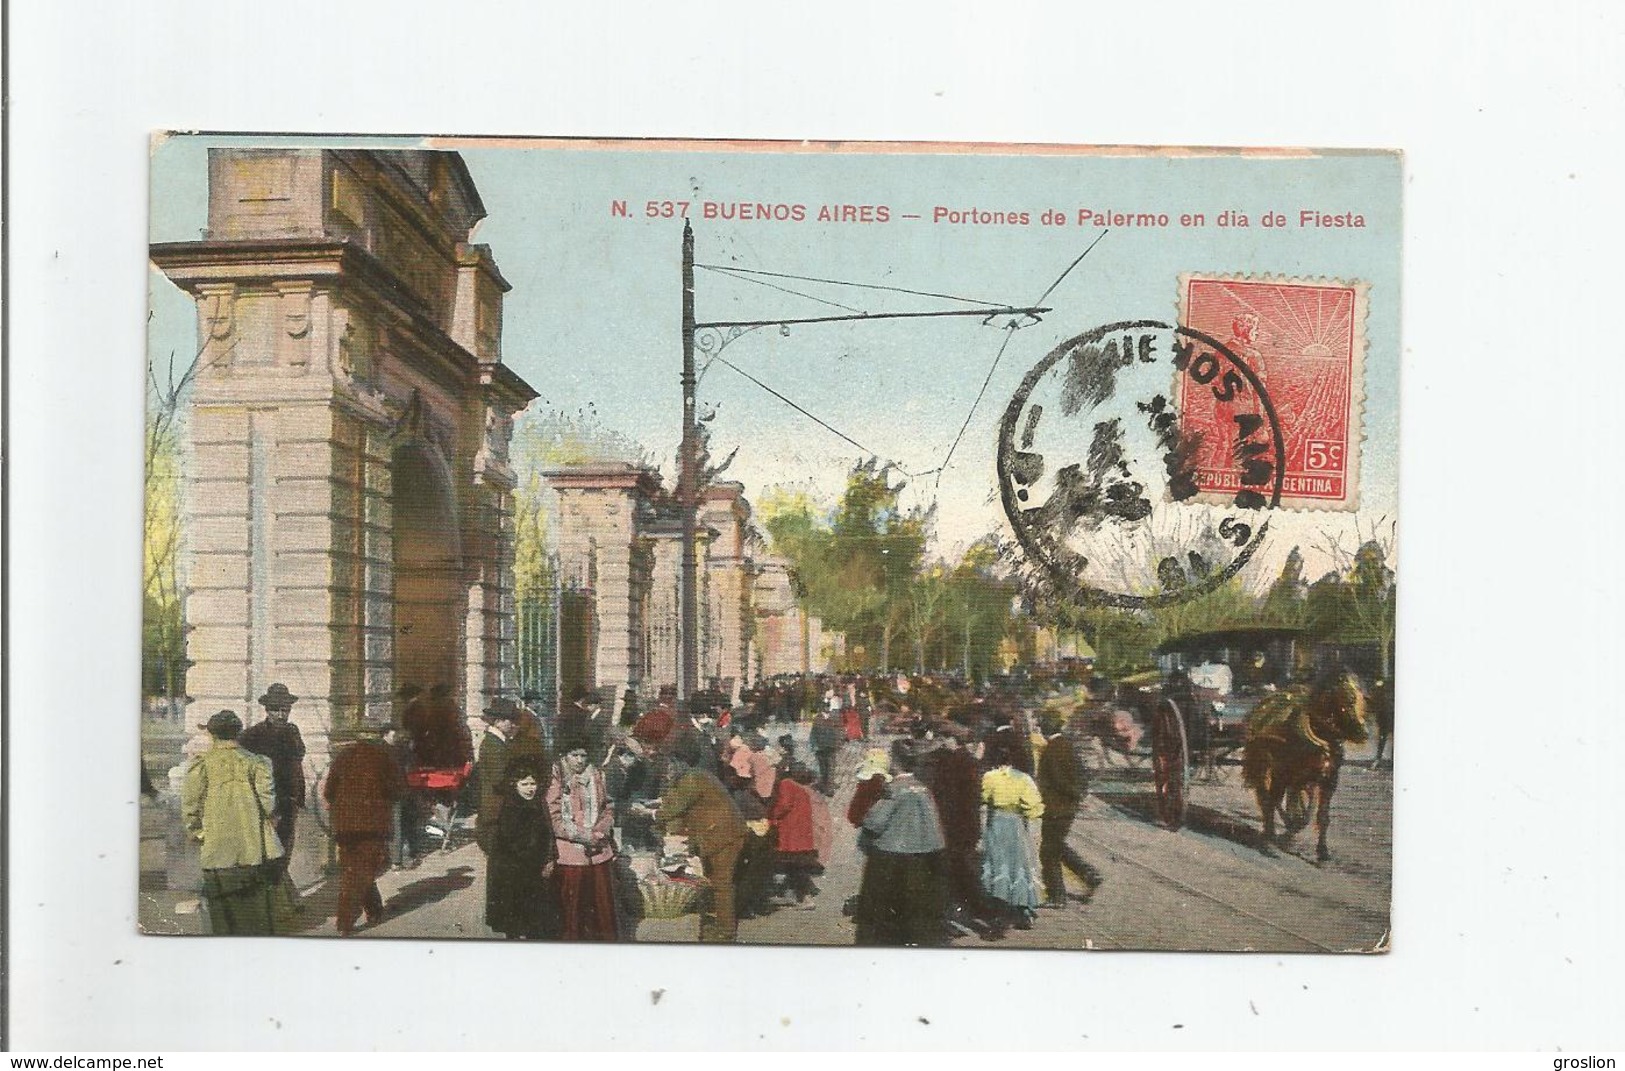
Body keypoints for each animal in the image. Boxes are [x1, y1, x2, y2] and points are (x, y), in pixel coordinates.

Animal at [1241, 679, 1371, 864]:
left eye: (1363, 702)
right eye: (1348, 701)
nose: (1364, 733)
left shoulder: (1327, 780)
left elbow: (1320, 815)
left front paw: (1322, 851)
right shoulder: (1284, 773)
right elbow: (1280, 805)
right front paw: (1276, 838)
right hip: (1265, 769)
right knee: (1268, 799)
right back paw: (1272, 832)